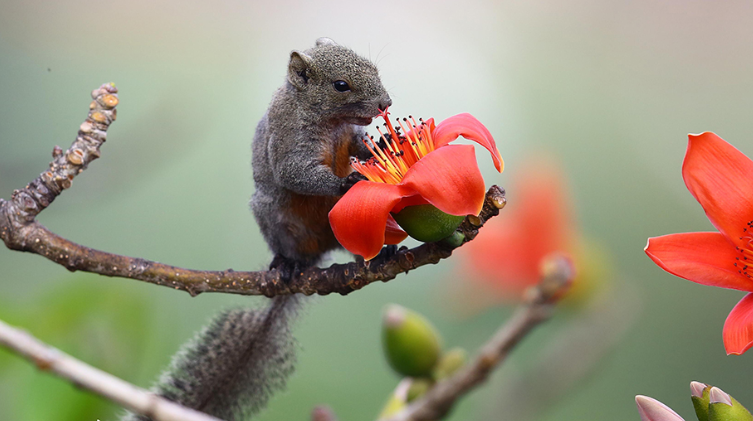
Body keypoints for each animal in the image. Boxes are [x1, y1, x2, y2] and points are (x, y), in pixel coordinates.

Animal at [120, 37, 390, 420]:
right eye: (341, 85)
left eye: (374, 68)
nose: (386, 103)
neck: (327, 120)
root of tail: (315, 255)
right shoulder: (288, 140)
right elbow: (296, 172)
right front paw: (346, 181)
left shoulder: (349, 137)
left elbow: (360, 146)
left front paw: (380, 145)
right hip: (274, 216)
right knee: (287, 247)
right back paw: (288, 263)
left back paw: (380, 254)